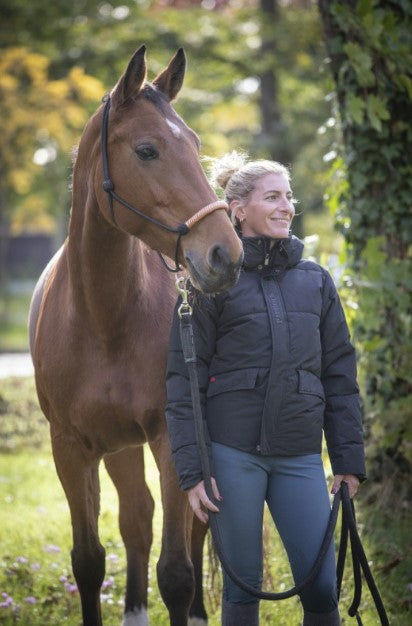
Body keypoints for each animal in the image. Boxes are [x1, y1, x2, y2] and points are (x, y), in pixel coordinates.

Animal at [29, 45, 245, 624]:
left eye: (195, 144)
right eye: (147, 150)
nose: (226, 254)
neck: (103, 320)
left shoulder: (172, 436)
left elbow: (177, 571)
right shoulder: (71, 447)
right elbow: (88, 560)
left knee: (194, 529)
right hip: (118, 447)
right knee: (137, 518)